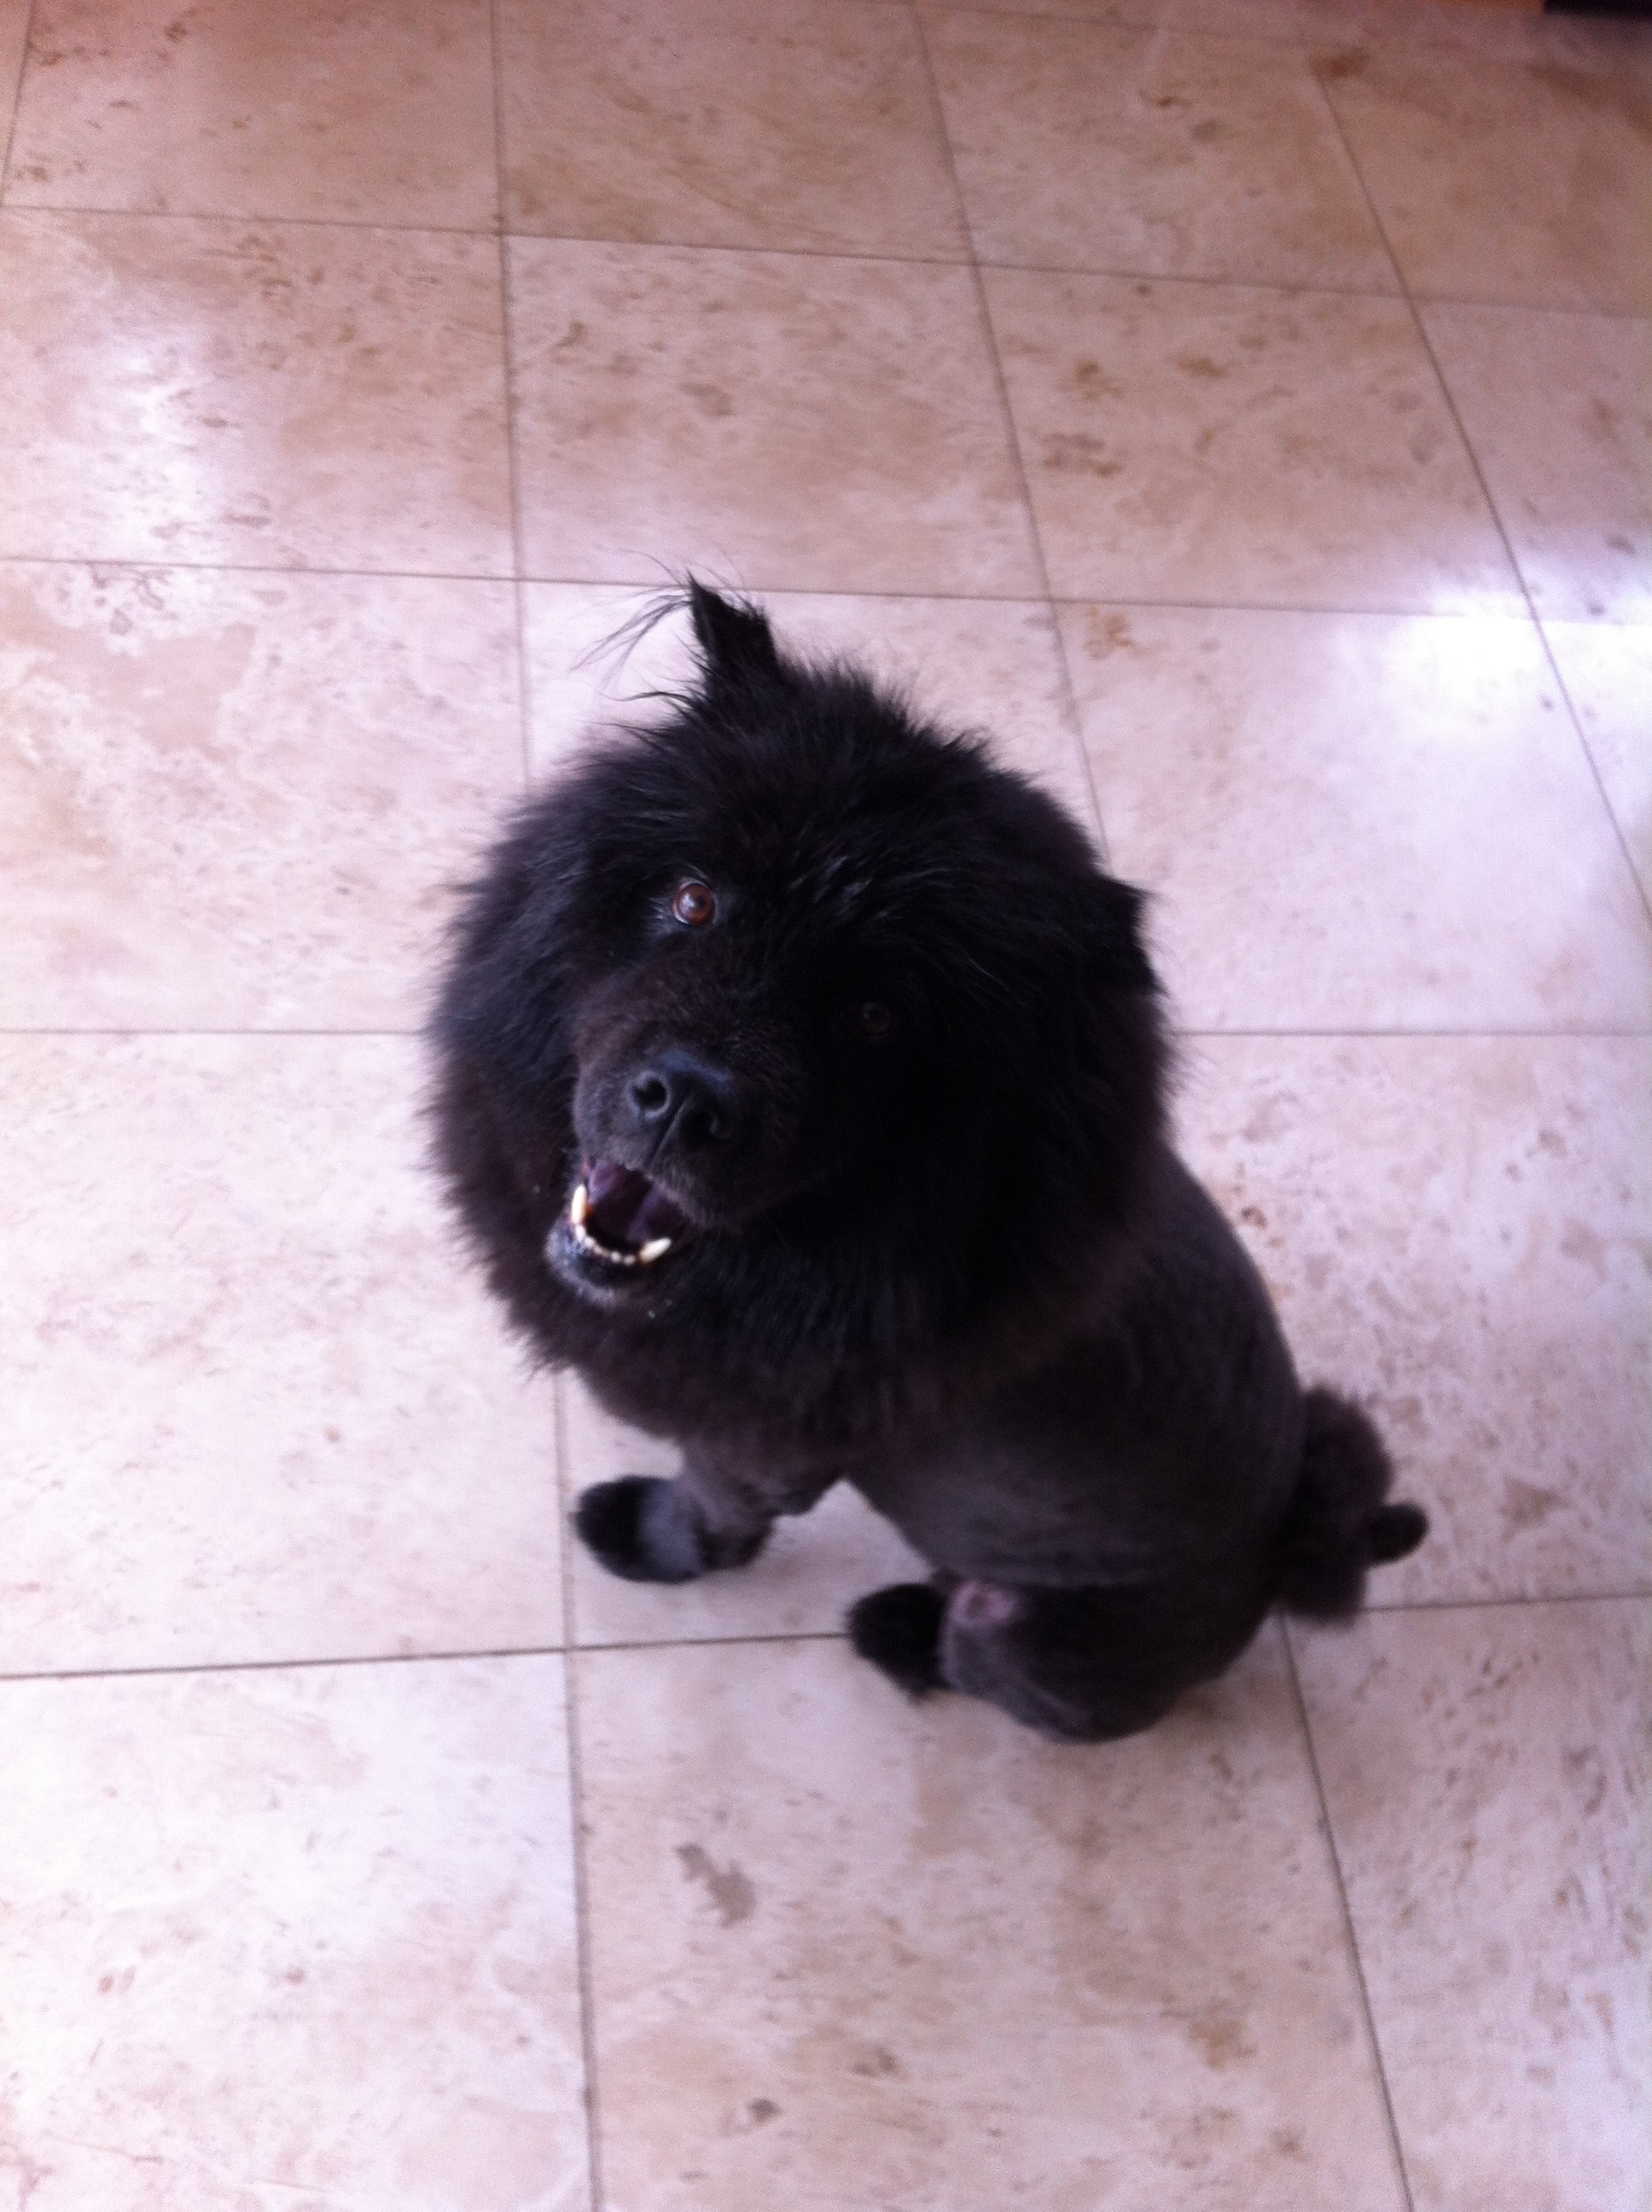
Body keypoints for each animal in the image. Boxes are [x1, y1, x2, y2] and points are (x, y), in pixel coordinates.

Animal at [429, 582, 1426, 1741]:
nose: (685, 1099)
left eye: (875, 1017)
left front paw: (644, 1536)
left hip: (1018, 1630)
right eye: (693, 901)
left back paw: (897, 1631)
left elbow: (712, 1515)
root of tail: (1276, 1559)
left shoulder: (766, 1452)